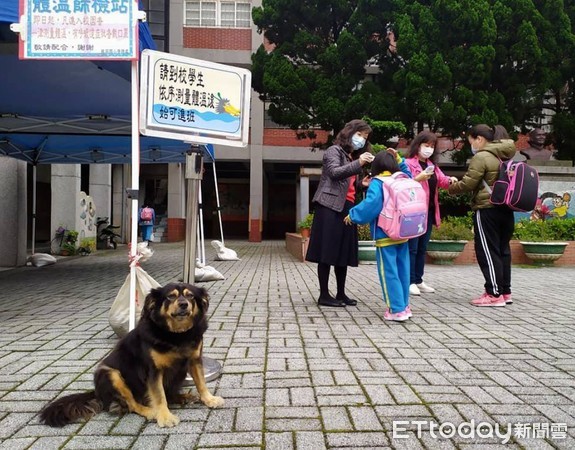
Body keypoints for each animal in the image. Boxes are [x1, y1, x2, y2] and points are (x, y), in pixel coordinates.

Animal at [40, 284, 224, 428]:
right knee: (132, 404)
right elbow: (159, 396)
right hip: (110, 373)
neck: (177, 334)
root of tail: (97, 393)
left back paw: (183, 397)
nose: (184, 304)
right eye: (170, 296)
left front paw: (209, 399)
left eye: (190, 295)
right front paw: (165, 417)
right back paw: (151, 411)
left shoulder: (194, 360)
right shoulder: (153, 371)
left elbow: (201, 383)